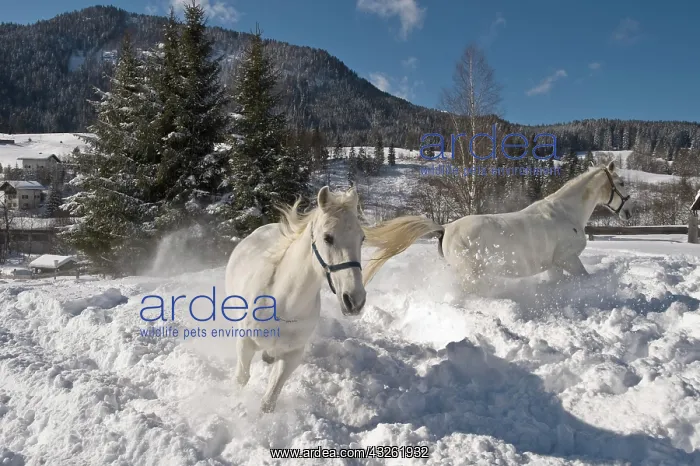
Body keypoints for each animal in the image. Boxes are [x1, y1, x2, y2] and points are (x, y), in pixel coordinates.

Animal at [224, 186, 367, 413]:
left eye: (362, 238)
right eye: (328, 238)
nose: (355, 300)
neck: (283, 305)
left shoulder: (292, 355)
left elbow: (268, 402)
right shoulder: (245, 344)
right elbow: (242, 378)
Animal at [363, 162, 632, 291]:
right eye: (620, 182)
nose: (629, 212)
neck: (565, 214)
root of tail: (445, 228)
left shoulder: (554, 265)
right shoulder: (568, 259)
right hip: (470, 273)